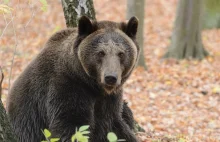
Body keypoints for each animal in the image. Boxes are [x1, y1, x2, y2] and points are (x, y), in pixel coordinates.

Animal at [7, 16, 140, 141]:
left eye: (121, 53)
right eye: (101, 53)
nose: (110, 77)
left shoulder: (109, 100)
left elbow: (114, 126)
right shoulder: (67, 87)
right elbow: (72, 126)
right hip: (26, 120)